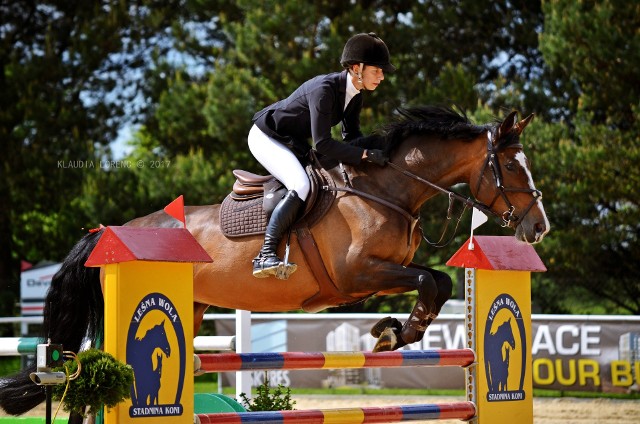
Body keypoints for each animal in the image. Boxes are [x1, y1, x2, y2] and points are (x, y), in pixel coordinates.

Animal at [0, 105, 552, 414]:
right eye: (510, 166)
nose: (538, 227)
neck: (386, 190)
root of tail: (108, 233)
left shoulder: (374, 278)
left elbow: (435, 282)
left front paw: (393, 329)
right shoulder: (356, 274)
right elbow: (431, 281)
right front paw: (395, 333)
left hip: (194, 307)